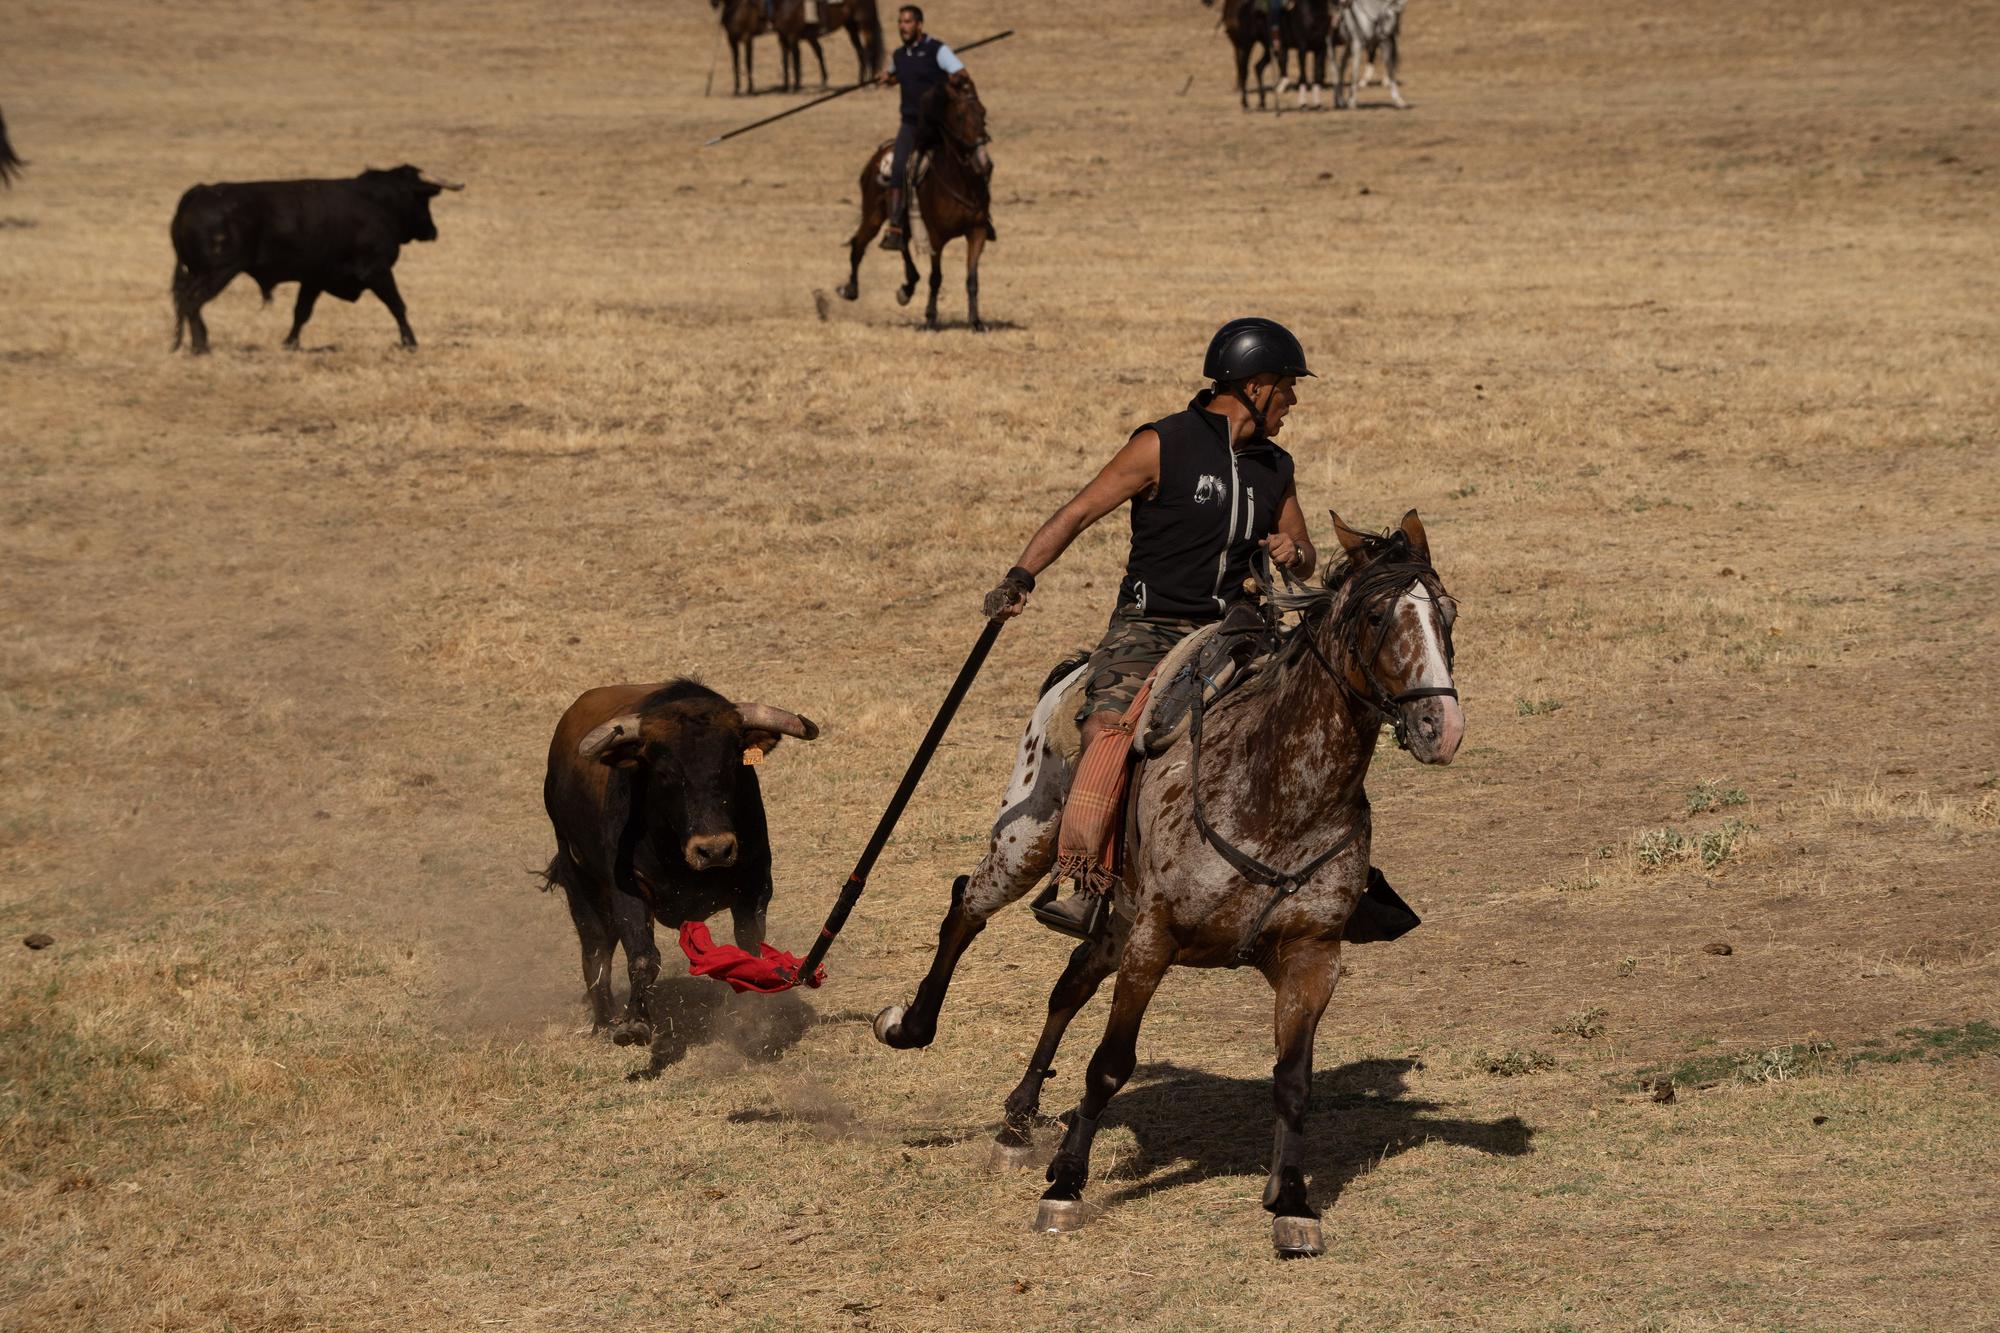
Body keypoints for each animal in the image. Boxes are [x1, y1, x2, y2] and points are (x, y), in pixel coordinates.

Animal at [169, 165, 464, 352]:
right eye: (423, 200)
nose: (432, 231)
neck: (378, 202)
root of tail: (201, 191)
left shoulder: (314, 278)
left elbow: (301, 312)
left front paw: (289, 343)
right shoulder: (377, 271)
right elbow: (397, 306)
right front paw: (410, 341)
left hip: (198, 272)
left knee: (183, 301)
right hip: (217, 272)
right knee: (192, 302)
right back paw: (200, 346)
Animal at [836, 72, 1000, 332]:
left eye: (983, 114)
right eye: (960, 117)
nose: (984, 163)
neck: (958, 179)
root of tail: (878, 156)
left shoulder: (977, 232)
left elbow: (972, 279)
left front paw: (976, 321)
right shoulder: (936, 237)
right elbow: (936, 277)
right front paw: (931, 319)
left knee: (901, 243)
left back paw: (907, 287)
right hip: (873, 215)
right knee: (859, 244)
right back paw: (850, 289)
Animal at [876, 510, 1472, 1256]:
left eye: (1447, 613)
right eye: (1373, 614)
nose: (1440, 728)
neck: (1277, 790)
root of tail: (1071, 672)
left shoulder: (1311, 955)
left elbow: (1294, 1081)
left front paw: (1292, 1202)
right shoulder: (1154, 941)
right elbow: (1109, 1062)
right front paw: (1065, 1185)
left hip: (1115, 918)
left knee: (1068, 981)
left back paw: (1017, 1120)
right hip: (1028, 845)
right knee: (966, 906)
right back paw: (910, 1026)